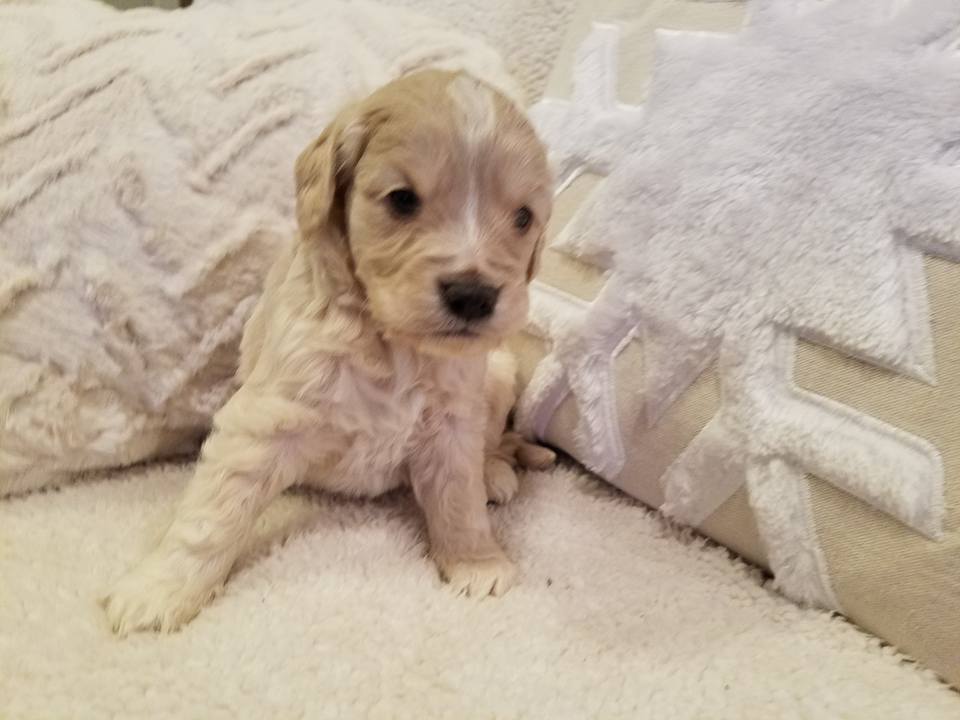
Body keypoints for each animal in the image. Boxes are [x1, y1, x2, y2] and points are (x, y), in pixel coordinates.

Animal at [103, 70, 556, 632]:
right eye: (402, 200)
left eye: (523, 217)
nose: (473, 295)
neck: (393, 343)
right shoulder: (265, 419)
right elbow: (213, 514)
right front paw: (159, 589)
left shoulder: (454, 419)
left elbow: (459, 496)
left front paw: (476, 560)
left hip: (498, 373)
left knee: (495, 442)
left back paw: (493, 469)